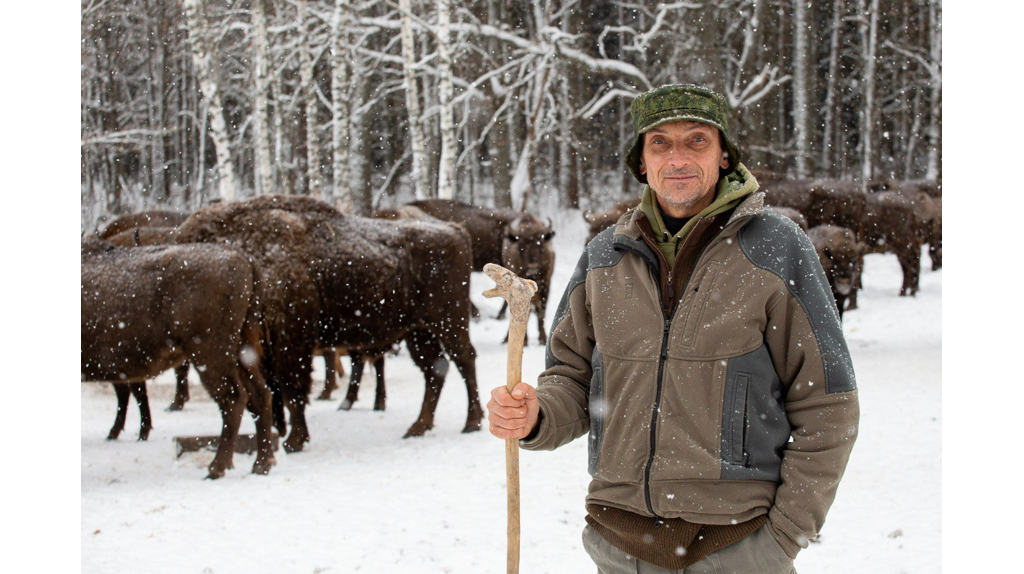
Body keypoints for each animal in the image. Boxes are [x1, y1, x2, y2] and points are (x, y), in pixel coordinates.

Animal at [79, 237, 274, 478]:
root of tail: (243, 259)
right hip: (239, 351)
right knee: (260, 395)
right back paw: (261, 464)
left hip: (209, 353)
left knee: (233, 398)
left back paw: (216, 468)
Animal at [173, 194, 483, 446]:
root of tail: (456, 230)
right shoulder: (267, 350)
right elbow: (276, 391)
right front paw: (282, 433)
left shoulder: (291, 342)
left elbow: (292, 390)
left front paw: (294, 441)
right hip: (418, 332)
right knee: (435, 370)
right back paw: (417, 427)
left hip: (449, 323)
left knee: (464, 360)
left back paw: (471, 422)